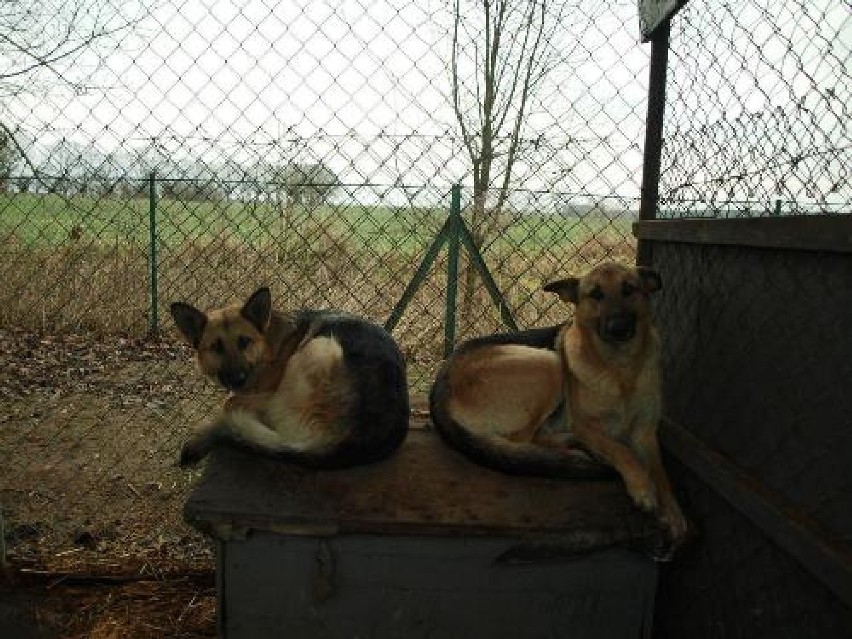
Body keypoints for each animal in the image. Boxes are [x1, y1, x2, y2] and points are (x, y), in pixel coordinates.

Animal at [170, 290, 410, 470]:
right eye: (216, 348)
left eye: (244, 342)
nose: (237, 379)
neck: (270, 344)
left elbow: (231, 401)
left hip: (321, 346)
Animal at [432, 262, 684, 544]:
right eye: (595, 294)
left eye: (629, 289)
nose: (618, 328)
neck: (620, 369)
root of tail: (442, 381)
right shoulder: (587, 426)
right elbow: (621, 450)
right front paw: (642, 487)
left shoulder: (645, 433)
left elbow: (661, 473)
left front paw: (674, 514)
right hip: (549, 363)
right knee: (525, 441)